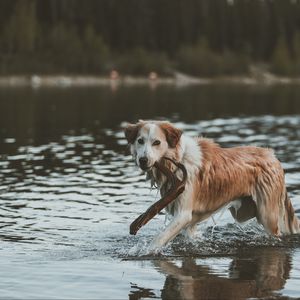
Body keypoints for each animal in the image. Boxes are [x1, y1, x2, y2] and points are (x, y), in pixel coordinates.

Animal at [123, 120, 298, 251]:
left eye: (157, 142)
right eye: (140, 141)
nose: (143, 160)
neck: (178, 160)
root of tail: (273, 156)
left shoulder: (183, 214)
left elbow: (158, 240)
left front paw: (143, 251)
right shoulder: (189, 221)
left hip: (268, 216)